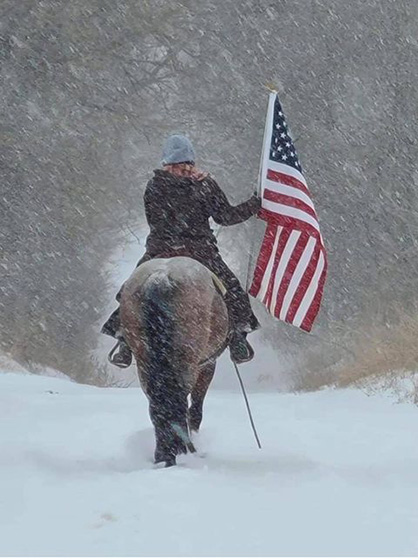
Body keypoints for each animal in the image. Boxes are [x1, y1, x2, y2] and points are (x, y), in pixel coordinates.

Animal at [119, 258, 230, 468]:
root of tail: (161, 277)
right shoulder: (207, 366)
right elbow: (195, 408)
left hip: (144, 361)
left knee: (158, 403)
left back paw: (164, 455)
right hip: (187, 362)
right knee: (177, 401)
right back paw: (178, 451)